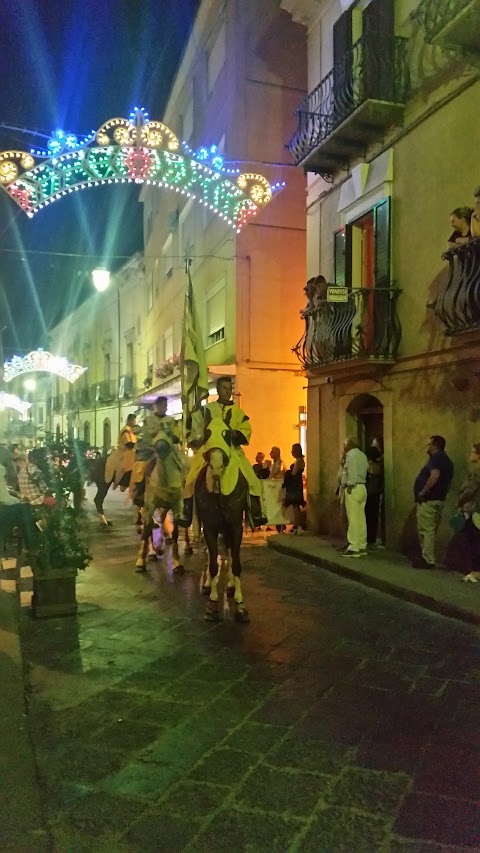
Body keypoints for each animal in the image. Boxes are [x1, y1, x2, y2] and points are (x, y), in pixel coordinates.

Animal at [193, 416, 249, 624]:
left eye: (227, 434)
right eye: (206, 434)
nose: (216, 467)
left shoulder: (235, 526)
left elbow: (236, 562)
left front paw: (240, 605)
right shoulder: (209, 526)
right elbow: (213, 564)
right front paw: (213, 603)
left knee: (230, 551)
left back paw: (231, 585)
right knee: (211, 554)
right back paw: (209, 584)